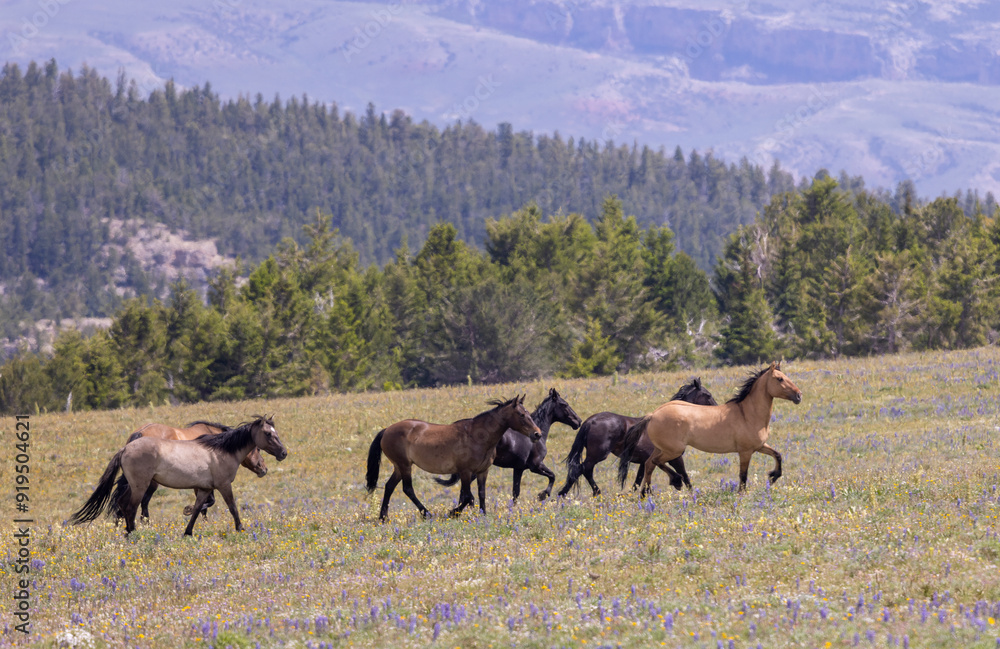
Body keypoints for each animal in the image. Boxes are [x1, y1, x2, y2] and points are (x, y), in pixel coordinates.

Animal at [125, 420, 268, 522]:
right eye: (258, 449)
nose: (264, 469)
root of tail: (141, 433)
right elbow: (208, 503)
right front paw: (193, 513)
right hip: (150, 482)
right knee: (144, 502)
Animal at [365, 395, 541, 521]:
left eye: (527, 413)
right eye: (521, 414)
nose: (537, 434)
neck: (477, 436)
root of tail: (387, 430)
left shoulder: (483, 471)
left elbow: (481, 494)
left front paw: (483, 515)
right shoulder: (465, 472)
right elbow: (467, 497)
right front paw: (453, 513)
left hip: (398, 467)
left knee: (389, 487)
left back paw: (383, 517)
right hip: (404, 465)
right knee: (407, 489)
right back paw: (427, 514)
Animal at [434, 388, 583, 502]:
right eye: (564, 404)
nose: (578, 421)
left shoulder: (519, 468)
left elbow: (516, 492)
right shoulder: (535, 466)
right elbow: (552, 476)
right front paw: (542, 495)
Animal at [557, 378, 717, 498]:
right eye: (708, 395)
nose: (716, 409)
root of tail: (589, 421)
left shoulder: (644, 461)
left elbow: (639, 481)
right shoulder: (674, 457)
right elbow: (685, 476)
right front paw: (684, 488)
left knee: (580, 470)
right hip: (598, 454)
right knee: (583, 469)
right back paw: (588, 493)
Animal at [617, 362, 802, 496]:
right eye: (779, 379)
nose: (799, 395)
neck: (748, 413)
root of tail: (653, 414)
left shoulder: (759, 446)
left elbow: (778, 455)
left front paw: (773, 476)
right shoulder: (745, 451)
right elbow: (743, 475)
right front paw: (742, 494)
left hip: (663, 449)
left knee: (649, 464)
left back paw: (645, 494)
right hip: (673, 450)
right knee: (656, 463)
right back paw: (673, 482)